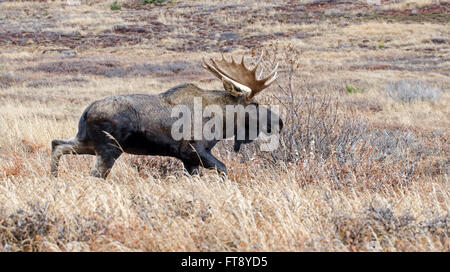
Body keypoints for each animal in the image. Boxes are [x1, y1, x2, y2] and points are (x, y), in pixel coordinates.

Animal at [50, 54, 282, 180]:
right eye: (254, 104)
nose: (279, 121)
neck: (222, 123)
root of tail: (86, 112)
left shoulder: (189, 160)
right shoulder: (193, 151)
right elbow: (223, 169)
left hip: (88, 142)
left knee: (57, 144)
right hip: (109, 148)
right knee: (94, 175)